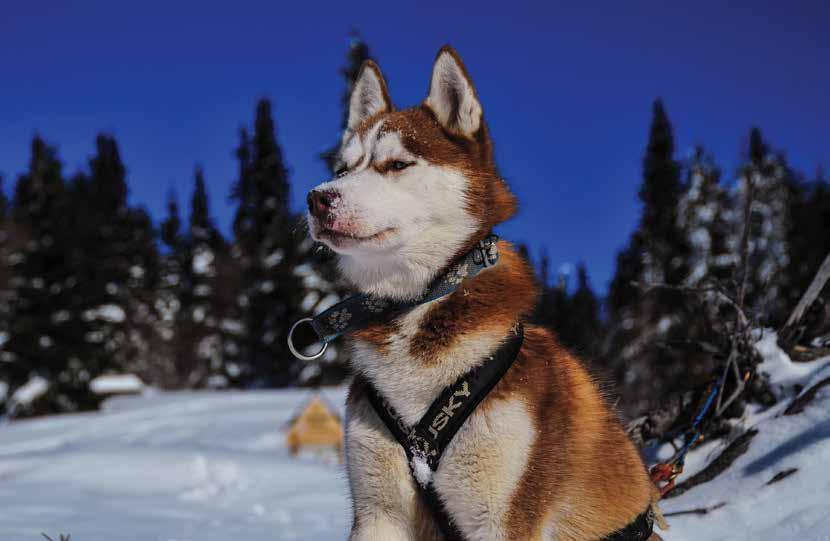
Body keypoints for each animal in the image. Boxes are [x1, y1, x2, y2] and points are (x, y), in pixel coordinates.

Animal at [306, 46, 664, 540]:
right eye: (343, 169)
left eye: (396, 164)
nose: (317, 198)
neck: (418, 305)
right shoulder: (379, 511)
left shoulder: (500, 518)